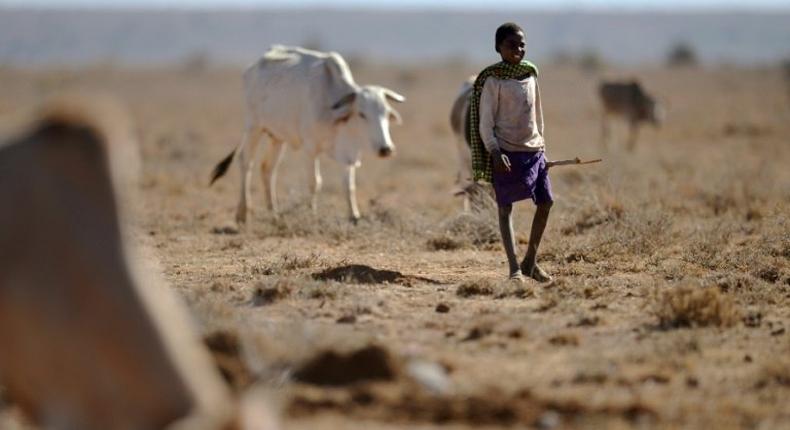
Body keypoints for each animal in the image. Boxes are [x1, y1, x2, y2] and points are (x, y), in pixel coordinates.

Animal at [210, 45, 406, 223]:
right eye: (362, 114)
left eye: (386, 113)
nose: (386, 149)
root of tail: (253, 67)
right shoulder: (310, 150)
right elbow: (315, 183)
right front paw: (312, 214)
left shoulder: (348, 155)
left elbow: (348, 186)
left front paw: (354, 215)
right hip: (254, 127)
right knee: (246, 161)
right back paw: (242, 214)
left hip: (277, 138)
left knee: (267, 168)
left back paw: (274, 214)